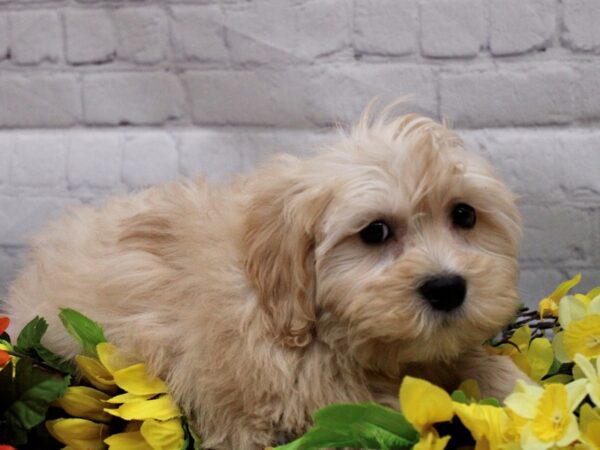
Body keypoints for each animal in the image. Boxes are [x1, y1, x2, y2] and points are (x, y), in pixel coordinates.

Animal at [3, 107, 524, 448]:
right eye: (374, 232)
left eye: (464, 215)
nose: (448, 288)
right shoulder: (272, 406)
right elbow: (377, 409)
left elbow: (477, 362)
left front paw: (510, 388)